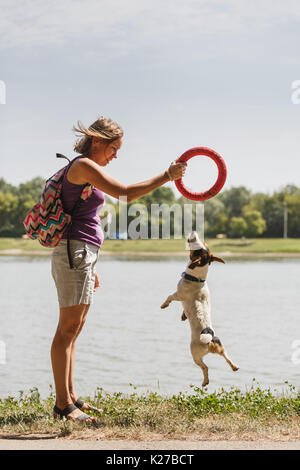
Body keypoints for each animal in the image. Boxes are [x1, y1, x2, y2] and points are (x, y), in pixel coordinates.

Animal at [161, 231, 238, 386]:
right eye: (204, 243)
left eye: (197, 246)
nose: (194, 232)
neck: (198, 279)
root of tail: (209, 340)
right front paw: (183, 316)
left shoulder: (178, 295)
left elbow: (169, 297)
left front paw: (164, 305)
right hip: (220, 347)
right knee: (226, 356)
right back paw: (234, 366)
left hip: (195, 354)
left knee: (205, 367)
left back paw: (205, 382)